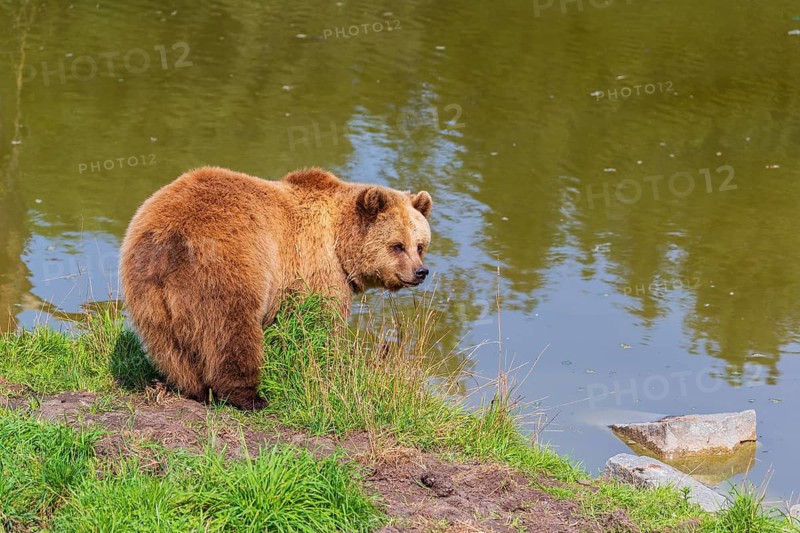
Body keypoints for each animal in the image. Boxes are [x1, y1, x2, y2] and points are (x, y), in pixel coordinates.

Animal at [119, 166, 432, 409]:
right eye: (397, 245)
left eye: (420, 245)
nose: (420, 272)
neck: (339, 241)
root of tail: (168, 238)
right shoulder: (315, 269)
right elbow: (318, 325)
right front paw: (328, 367)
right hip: (229, 266)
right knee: (230, 331)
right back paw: (249, 396)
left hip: (147, 290)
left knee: (168, 344)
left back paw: (193, 387)